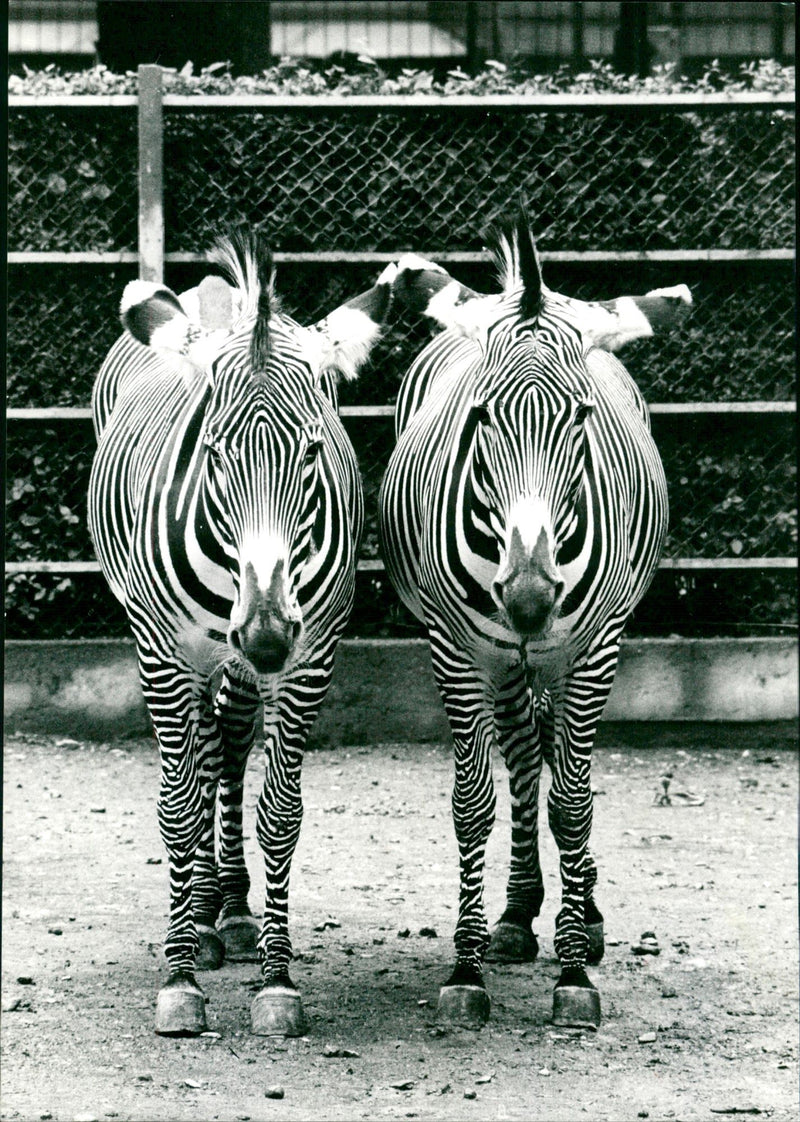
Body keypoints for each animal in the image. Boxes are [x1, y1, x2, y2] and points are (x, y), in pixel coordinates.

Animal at [89, 229, 398, 1037]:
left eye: (313, 451)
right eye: (214, 451)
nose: (262, 635)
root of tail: (213, 293)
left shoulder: (311, 652)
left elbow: (280, 813)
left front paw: (277, 980)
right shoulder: (164, 649)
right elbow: (175, 806)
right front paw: (179, 980)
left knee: (224, 740)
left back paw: (224, 906)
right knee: (199, 757)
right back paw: (198, 918)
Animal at [381, 217, 691, 1030]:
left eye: (581, 415)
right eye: (480, 416)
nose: (526, 598)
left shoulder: (596, 648)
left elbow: (574, 803)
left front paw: (576, 971)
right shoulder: (457, 650)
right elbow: (474, 803)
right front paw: (465, 969)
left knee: (552, 765)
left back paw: (583, 913)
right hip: (505, 661)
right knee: (524, 756)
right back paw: (521, 913)